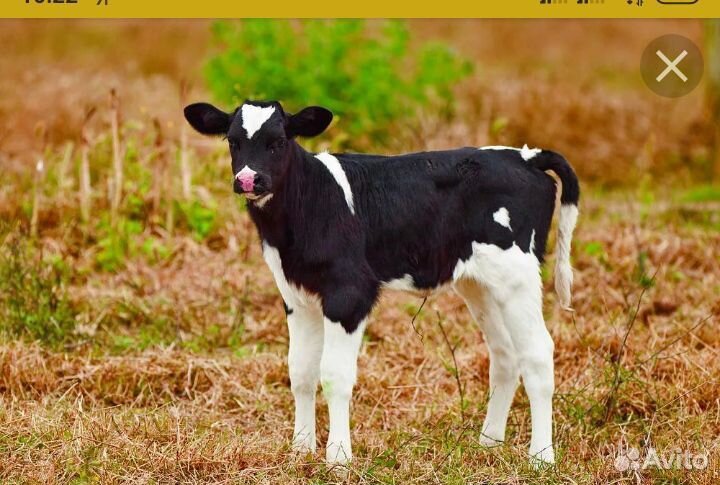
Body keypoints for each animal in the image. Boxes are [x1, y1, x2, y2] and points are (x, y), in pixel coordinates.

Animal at [184, 100, 580, 467]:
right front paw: (300, 450)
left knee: (538, 354)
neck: (310, 203)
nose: (249, 180)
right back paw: (489, 443)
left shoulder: (349, 293)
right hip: (480, 283)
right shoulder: (297, 296)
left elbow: (334, 375)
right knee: (505, 354)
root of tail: (526, 156)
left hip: (518, 274)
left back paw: (541, 457)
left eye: (278, 141)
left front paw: (338, 458)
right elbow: (300, 372)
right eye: (233, 141)